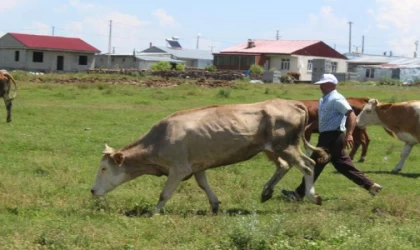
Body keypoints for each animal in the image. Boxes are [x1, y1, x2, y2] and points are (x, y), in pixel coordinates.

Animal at [90, 98, 330, 216]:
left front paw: (153, 213)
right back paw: (266, 192)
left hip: (286, 146)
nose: (92, 190)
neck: (158, 141)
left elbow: (164, 194)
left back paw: (313, 196)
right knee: (283, 166)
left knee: (307, 165)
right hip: (272, 148)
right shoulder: (197, 167)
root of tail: (292, 103)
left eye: (103, 168)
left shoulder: (178, 169)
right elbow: (204, 185)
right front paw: (215, 206)